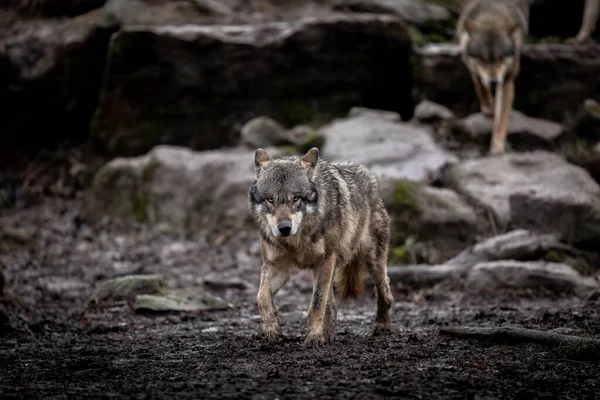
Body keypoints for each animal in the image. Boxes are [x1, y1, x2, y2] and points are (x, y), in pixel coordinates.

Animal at [248, 147, 394, 346]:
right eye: (270, 199)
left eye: (296, 198)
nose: (284, 228)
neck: (296, 241)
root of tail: (368, 174)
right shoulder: (278, 266)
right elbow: (261, 297)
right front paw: (272, 328)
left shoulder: (325, 260)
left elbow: (316, 304)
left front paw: (314, 338)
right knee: (331, 305)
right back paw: (329, 335)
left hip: (373, 262)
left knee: (385, 293)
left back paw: (382, 326)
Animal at [458, 0, 528, 155]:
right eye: (482, 59)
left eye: (501, 58)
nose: (494, 82)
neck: (491, 18)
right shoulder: (471, 63)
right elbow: (480, 84)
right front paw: (488, 107)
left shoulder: (507, 79)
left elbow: (501, 119)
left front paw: (497, 147)